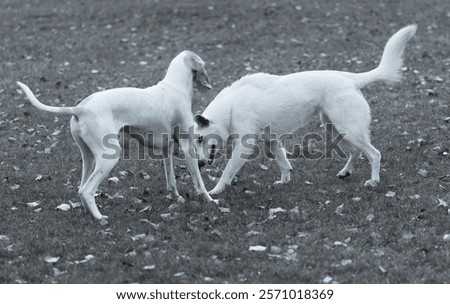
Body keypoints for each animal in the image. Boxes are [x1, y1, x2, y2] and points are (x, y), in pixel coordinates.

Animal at [18, 50, 219, 221]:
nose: (205, 162)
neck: (174, 87)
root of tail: (81, 108)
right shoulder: (187, 148)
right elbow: (199, 182)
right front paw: (210, 200)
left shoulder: (166, 149)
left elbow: (171, 180)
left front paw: (177, 198)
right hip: (109, 158)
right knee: (86, 190)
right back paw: (100, 219)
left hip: (89, 158)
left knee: (81, 188)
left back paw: (89, 214)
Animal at [195, 24, 416, 195]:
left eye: (200, 139)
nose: (198, 165)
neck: (231, 107)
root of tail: (350, 78)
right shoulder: (272, 140)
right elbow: (284, 164)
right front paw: (284, 181)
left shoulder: (244, 146)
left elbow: (227, 171)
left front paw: (215, 191)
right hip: (335, 129)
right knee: (356, 152)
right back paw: (346, 172)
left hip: (348, 129)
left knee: (374, 154)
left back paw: (374, 181)